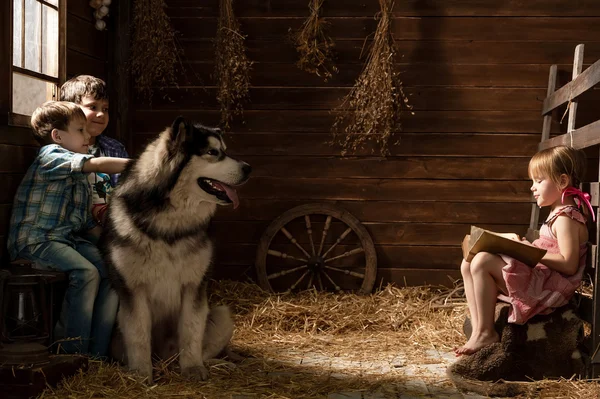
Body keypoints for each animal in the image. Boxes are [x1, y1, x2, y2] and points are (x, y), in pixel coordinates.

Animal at [101, 117, 251, 382]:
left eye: (224, 150)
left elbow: (191, 331)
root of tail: (164, 361)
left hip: (222, 315)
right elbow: (138, 335)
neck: (169, 224)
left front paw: (193, 368)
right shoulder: (133, 290)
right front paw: (141, 375)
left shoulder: (193, 286)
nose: (248, 168)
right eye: (213, 152)